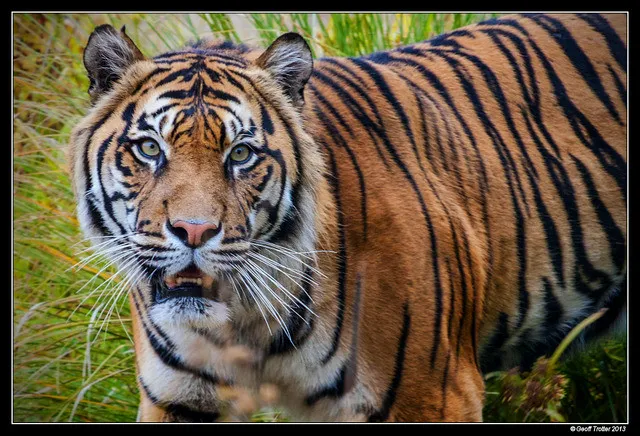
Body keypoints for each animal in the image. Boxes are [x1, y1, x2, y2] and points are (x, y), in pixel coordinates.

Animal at [67, 13, 627, 422]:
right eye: (149, 148)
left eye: (241, 154)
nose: (194, 231)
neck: (246, 326)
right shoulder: (181, 399)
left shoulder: (433, 393)